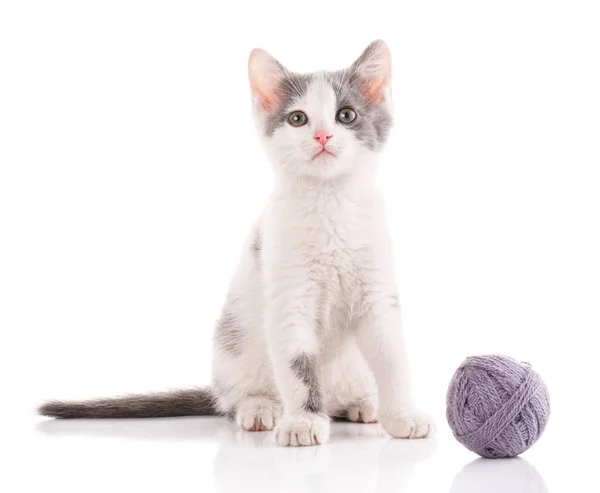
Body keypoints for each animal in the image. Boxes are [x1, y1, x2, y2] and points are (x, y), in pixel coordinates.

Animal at [41, 39, 436, 446]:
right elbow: (298, 367)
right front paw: (303, 422)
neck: (330, 205)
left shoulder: (377, 294)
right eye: (298, 119)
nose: (323, 136)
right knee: (239, 396)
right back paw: (261, 408)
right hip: (234, 349)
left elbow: (393, 360)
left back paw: (362, 404)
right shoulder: (288, 297)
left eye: (346, 115)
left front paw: (403, 416)